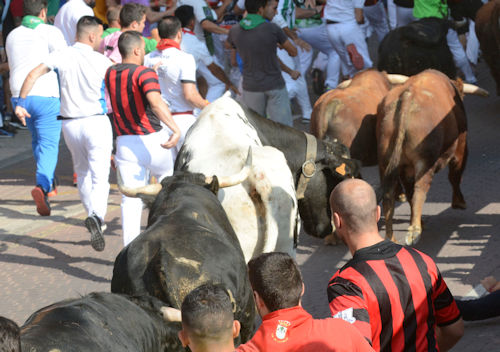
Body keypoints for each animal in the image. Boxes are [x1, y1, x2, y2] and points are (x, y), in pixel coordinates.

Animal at [376, 70, 486, 246]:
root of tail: (407, 96)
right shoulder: (461, 148)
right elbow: (455, 175)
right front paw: (459, 202)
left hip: (385, 163)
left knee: (392, 195)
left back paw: (393, 237)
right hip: (424, 163)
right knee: (420, 190)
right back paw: (414, 231)